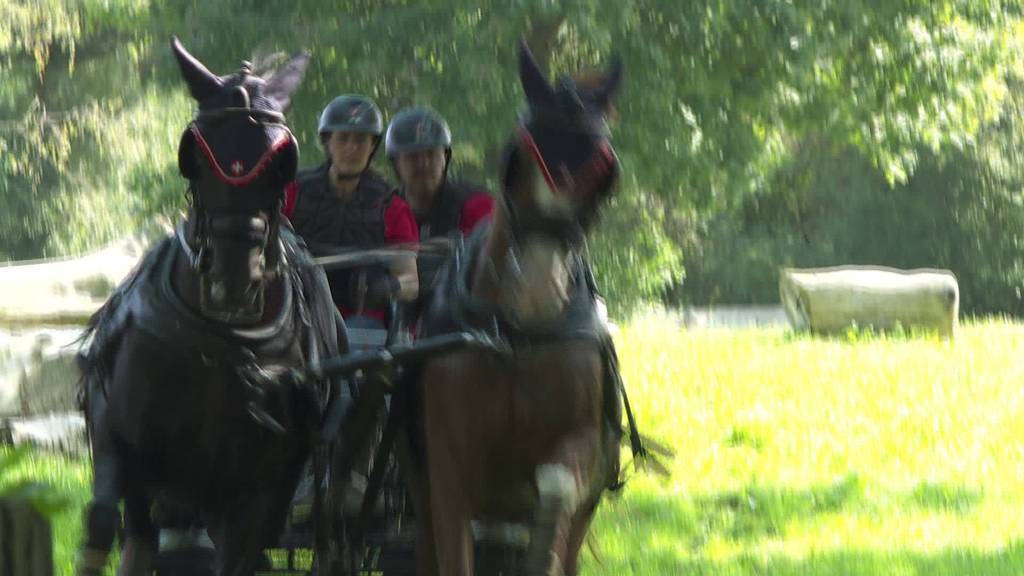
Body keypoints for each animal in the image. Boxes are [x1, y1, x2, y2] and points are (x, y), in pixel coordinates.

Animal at [74, 39, 348, 573]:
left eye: (281, 159)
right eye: (194, 152)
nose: (233, 279)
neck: (220, 345)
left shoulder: (257, 495)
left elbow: (241, 553)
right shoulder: (118, 439)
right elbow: (103, 521)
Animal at [413, 42, 622, 569]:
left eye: (603, 175)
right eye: (520, 154)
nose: (538, 291)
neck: (516, 338)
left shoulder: (581, 445)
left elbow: (556, 486)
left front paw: (541, 543)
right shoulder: (447, 472)